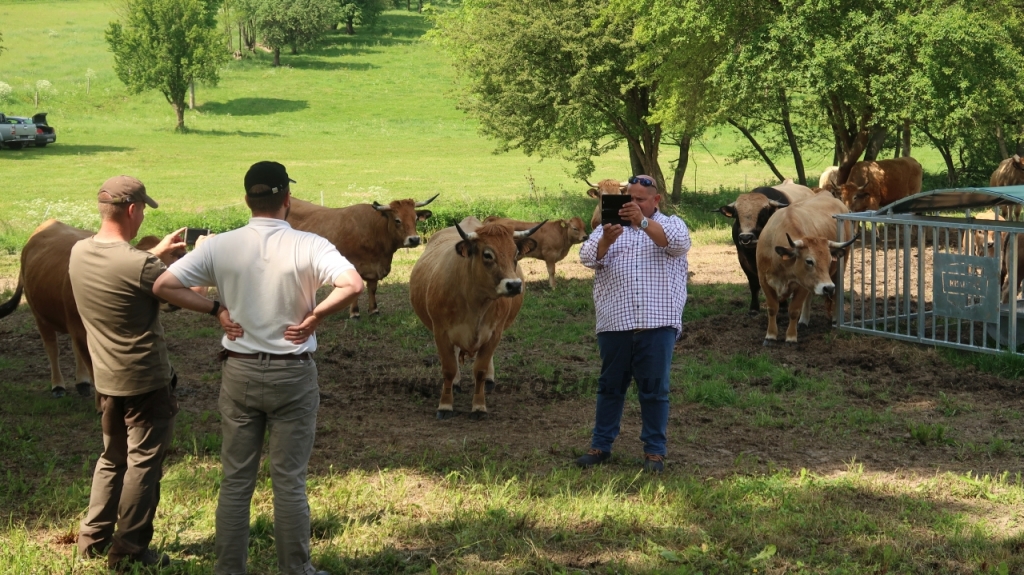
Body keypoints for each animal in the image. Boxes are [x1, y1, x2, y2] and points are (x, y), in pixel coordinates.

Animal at [284, 193, 436, 317]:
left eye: (416, 219)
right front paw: (355, 312)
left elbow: (372, 288)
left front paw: (374, 310)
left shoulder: (374, 268)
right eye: (397, 220)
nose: (414, 239)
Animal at [409, 216, 544, 419]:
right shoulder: (441, 332)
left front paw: (479, 406)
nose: (513, 285)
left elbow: (480, 369)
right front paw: (445, 405)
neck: (475, 303)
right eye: (487, 254)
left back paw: (489, 380)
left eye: (515, 253)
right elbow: (449, 369)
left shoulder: (494, 333)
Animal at [712, 179, 815, 313]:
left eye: (763, 213)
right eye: (737, 216)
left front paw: (783, 305)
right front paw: (754, 307)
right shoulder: (743, 259)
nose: (746, 237)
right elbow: (754, 283)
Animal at [753, 192, 856, 343]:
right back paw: (804, 320)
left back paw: (834, 319)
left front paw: (791, 337)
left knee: (836, 293)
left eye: (829, 261)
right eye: (809, 261)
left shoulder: (802, 285)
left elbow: (794, 310)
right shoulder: (764, 281)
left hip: (839, 269)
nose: (828, 287)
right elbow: (772, 308)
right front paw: (770, 336)